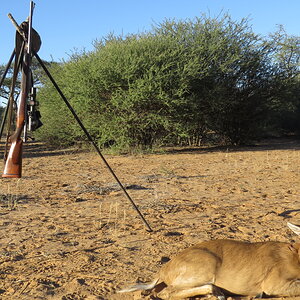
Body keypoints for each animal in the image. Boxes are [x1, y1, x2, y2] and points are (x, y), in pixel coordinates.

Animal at [118, 221, 300, 298]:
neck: (294, 255)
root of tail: (164, 270)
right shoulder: (273, 284)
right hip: (203, 270)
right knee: (165, 293)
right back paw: (218, 294)